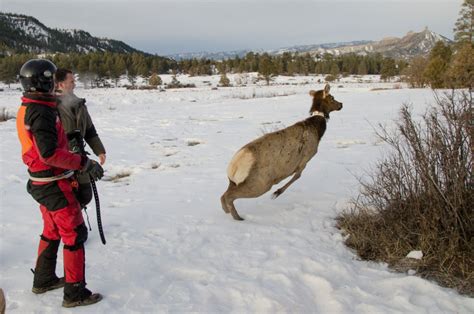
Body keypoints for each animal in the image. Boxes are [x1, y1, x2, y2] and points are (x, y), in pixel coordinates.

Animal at [220, 84, 342, 221]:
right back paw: (238, 217)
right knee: (229, 196)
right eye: (332, 97)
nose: (341, 104)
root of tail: (233, 167)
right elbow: (297, 176)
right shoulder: (305, 158)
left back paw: (228, 211)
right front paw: (277, 192)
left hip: (234, 181)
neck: (318, 131)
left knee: (223, 195)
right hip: (261, 183)